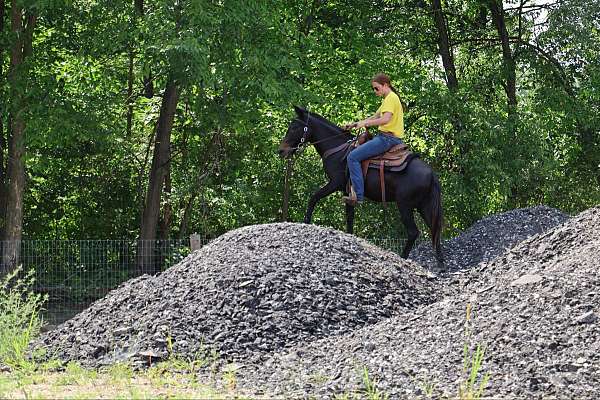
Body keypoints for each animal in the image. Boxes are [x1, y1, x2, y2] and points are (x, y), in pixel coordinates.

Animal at [278, 105, 442, 268]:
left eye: (294, 127)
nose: (281, 150)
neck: (337, 148)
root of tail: (431, 173)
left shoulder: (335, 183)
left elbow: (314, 197)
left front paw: (306, 221)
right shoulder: (347, 192)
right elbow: (350, 217)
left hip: (405, 205)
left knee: (413, 232)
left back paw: (403, 258)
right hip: (424, 206)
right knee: (435, 230)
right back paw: (440, 264)